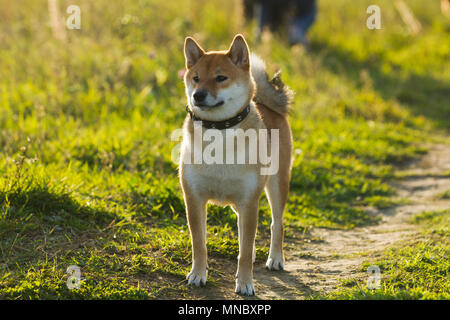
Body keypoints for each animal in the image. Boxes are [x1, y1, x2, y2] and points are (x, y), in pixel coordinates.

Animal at [181, 33, 294, 296]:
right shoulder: (194, 198)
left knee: (276, 224)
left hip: (276, 186)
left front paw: (244, 283)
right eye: (196, 78)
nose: (198, 95)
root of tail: (268, 106)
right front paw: (198, 274)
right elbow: (199, 244)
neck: (219, 132)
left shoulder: (248, 201)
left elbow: (246, 246)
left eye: (221, 78)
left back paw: (275, 258)